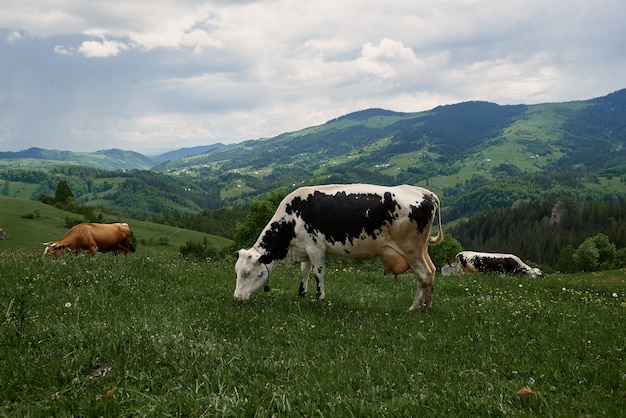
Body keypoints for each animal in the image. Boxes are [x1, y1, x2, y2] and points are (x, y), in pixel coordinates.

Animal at [232, 183, 442, 310]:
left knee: (423, 274)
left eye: (248, 273)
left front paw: (319, 298)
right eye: (237, 271)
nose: (236, 298)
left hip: (411, 249)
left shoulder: (316, 248)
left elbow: (318, 273)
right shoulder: (305, 248)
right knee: (431, 271)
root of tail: (423, 192)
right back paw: (427, 306)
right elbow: (304, 271)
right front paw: (301, 294)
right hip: (422, 248)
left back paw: (413, 308)